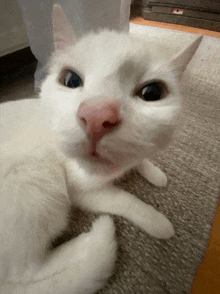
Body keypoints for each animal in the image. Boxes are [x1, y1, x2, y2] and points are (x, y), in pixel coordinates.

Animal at [0, 4, 203, 294]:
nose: (97, 116)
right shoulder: (84, 191)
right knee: (25, 271)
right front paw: (156, 220)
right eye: (71, 80)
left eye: (152, 92)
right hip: (37, 179)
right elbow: (127, 200)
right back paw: (87, 243)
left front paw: (154, 172)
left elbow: (141, 158)